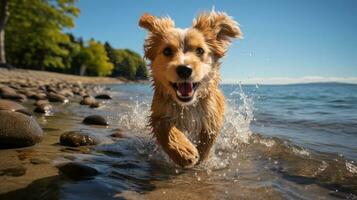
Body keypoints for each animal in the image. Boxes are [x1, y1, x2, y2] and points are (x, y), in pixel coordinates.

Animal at [138, 10, 241, 167]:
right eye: (167, 51)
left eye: (200, 50)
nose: (184, 69)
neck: (187, 106)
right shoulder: (159, 111)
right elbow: (163, 127)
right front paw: (183, 151)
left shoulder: (211, 113)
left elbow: (208, 135)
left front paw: (201, 157)